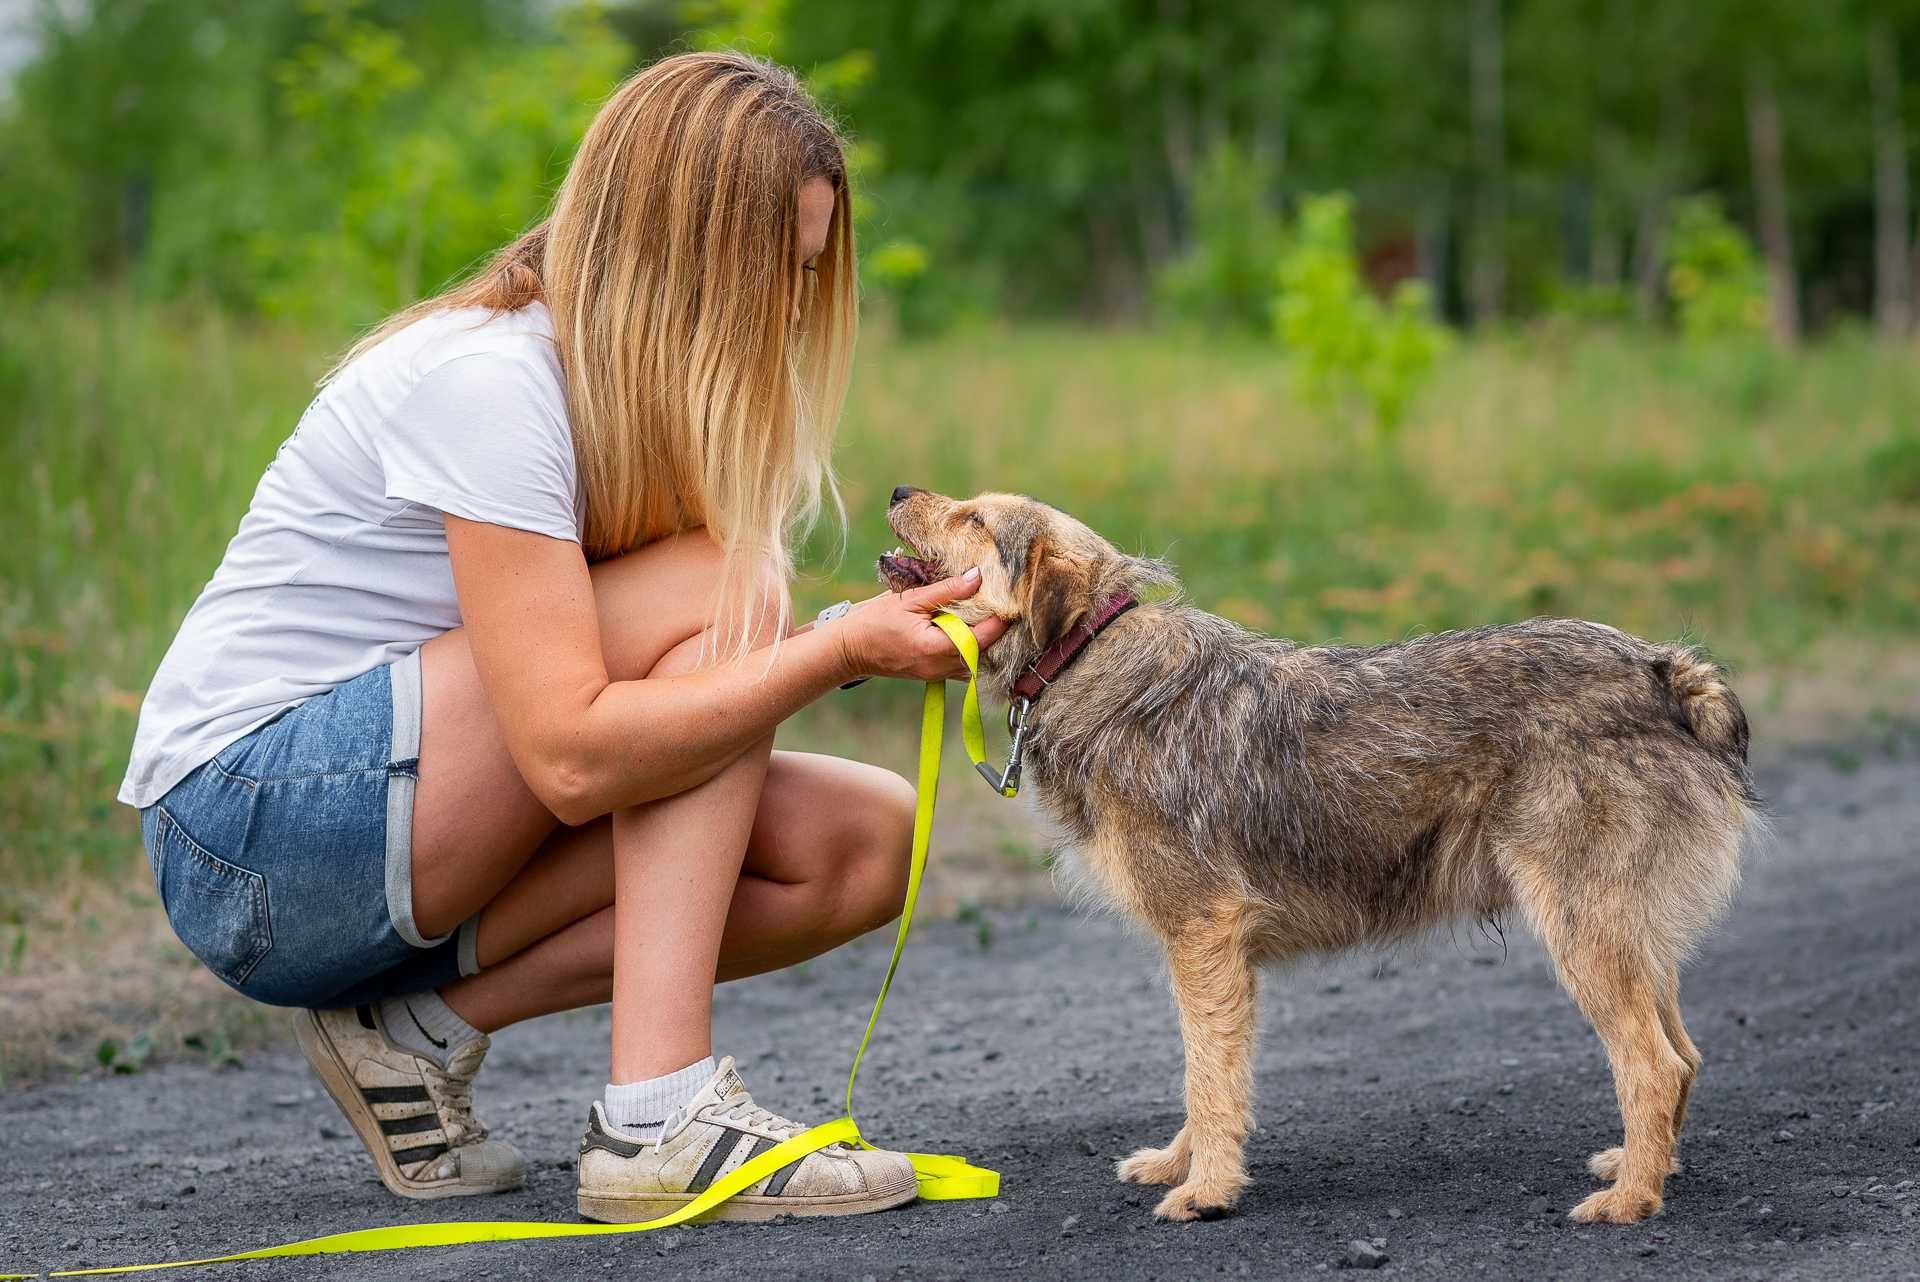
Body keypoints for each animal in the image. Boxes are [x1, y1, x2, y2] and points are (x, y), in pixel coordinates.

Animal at [879, 487, 1758, 1220]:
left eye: (976, 518)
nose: (895, 489)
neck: (1091, 652)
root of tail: (1667, 671)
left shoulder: (1205, 935)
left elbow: (1209, 1078)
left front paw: (1205, 1191)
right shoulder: (1214, 955)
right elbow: (1206, 1075)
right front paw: (1179, 1165)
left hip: (1583, 930)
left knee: (1655, 1065)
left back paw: (1631, 1200)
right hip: (1626, 932)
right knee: (1684, 1054)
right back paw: (1646, 1168)